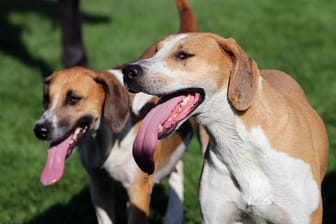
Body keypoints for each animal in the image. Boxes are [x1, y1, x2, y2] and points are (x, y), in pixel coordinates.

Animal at [33, 0, 202, 223]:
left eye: (73, 99)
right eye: (47, 98)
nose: (40, 130)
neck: (105, 138)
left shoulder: (138, 191)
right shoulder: (99, 183)